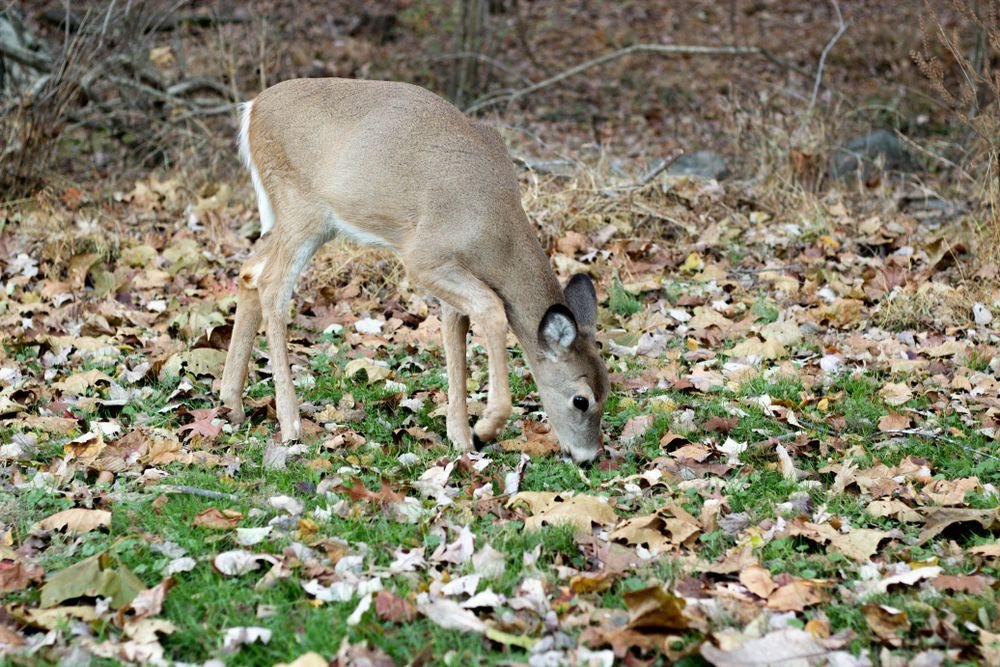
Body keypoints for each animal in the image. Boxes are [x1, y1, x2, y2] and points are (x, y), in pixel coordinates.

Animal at [219, 78, 609, 465]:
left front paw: (461, 439)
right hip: (301, 209)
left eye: (608, 389)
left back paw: (232, 404)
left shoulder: (450, 279)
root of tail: (252, 108)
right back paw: (290, 423)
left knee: (249, 272)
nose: (587, 457)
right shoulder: (423, 256)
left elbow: (457, 343)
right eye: (581, 400)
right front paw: (484, 428)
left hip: (301, 221)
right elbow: (492, 309)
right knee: (272, 286)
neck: (494, 231)